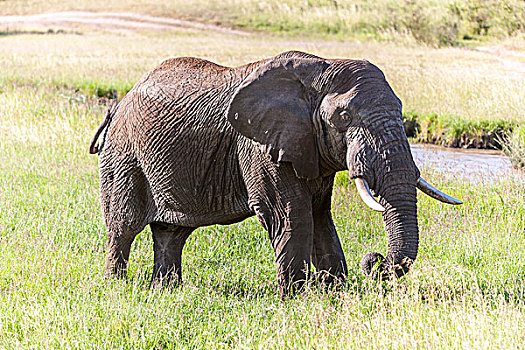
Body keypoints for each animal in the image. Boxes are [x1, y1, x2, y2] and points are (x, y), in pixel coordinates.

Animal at [89, 50, 458, 298]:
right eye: (343, 116)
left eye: (401, 111)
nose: (374, 261)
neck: (320, 70)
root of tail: (120, 102)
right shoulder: (257, 145)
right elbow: (291, 214)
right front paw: (296, 300)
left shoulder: (308, 146)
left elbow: (320, 216)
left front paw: (334, 294)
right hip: (124, 155)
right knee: (123, 226)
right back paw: (115, 288)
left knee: (171, 232)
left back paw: (167, 291)